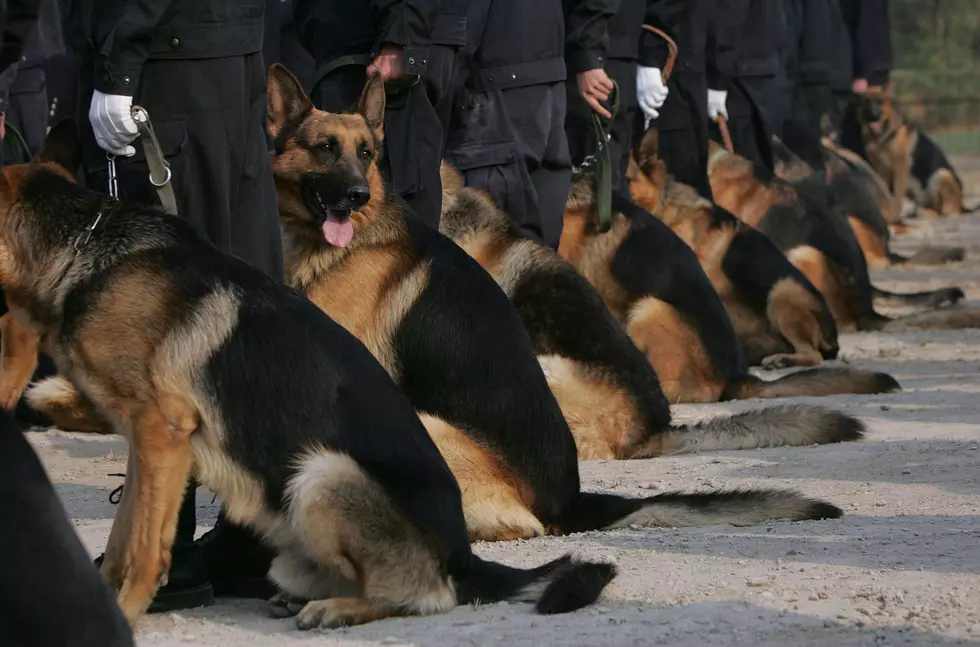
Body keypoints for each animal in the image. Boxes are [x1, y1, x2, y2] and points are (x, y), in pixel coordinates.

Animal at [0, 120, 612, 628]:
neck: (84, 242)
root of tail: (462, 553)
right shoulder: (147, 445)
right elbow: (123, 535)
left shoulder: (162, 431)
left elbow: (144, 548)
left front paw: (124, 614)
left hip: (321, 474)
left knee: (427, 595)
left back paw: (339, 607)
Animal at [844, 86, 972, 219]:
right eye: (866, 102)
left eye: (880, 101)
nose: (874, 116)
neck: (879, 137)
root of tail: (962, 206)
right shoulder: (881, 170)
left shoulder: (900, 169)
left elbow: (897, 195)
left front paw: (893, 215)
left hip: (941, 174)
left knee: (943, 211)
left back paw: (926, 213)